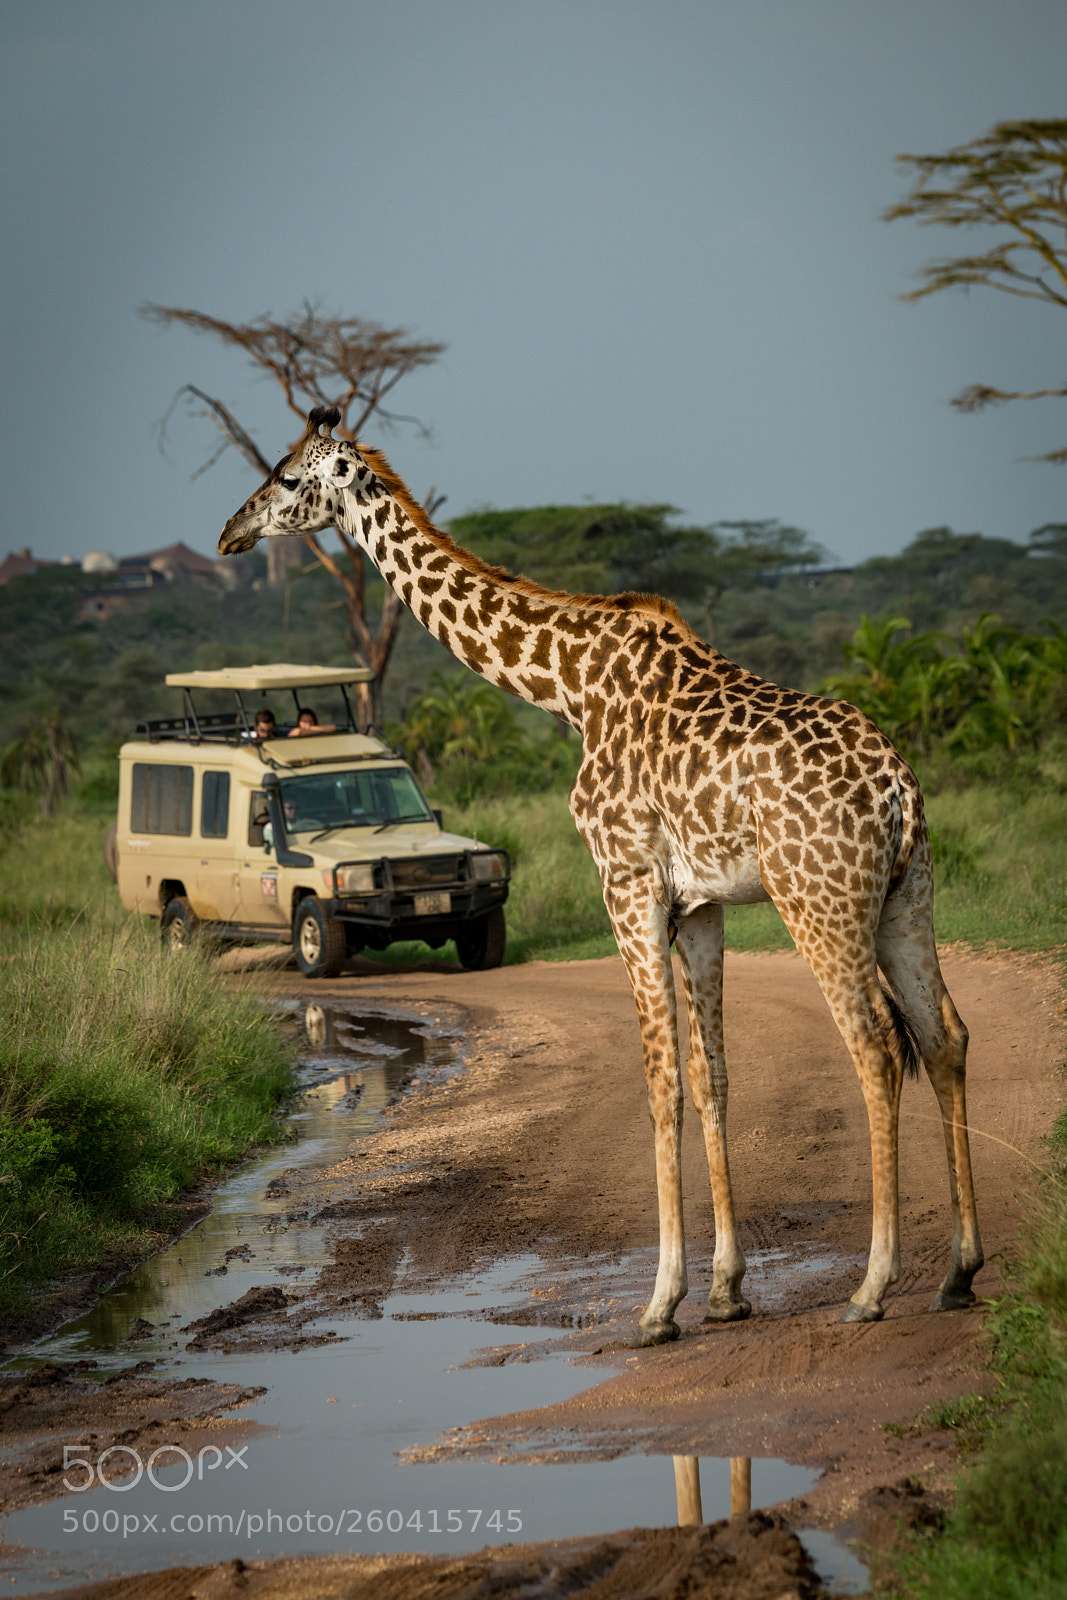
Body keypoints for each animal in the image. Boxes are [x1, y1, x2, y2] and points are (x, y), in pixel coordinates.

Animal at [218, 405, 983, 1342]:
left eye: (289, 477)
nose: (230, 532)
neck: (567, 686)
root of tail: (894, 787)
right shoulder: (699, 904)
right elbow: (711, 1078)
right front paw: (726, 1291)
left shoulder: (624, 878)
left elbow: (660, 1079)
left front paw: (659, 1304)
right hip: (908, 894)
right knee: (944, 1035)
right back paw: (957, 1272)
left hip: (819, 899)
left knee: (875, 1048)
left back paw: (872, 1286)